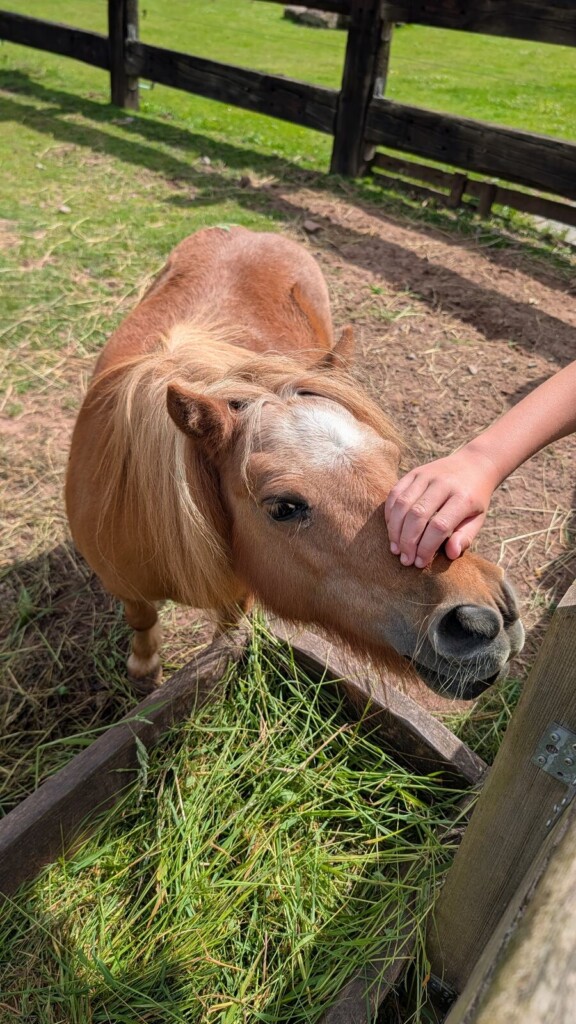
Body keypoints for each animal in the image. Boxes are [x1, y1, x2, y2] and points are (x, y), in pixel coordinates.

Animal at [66, 226, 524, 700]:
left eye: (392, 458)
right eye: (282, 507)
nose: (485, 617)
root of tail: (249, 232)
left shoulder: (241, 590)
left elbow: (227, 637)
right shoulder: (124, 584)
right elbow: (142, 618)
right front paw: (144, 668)